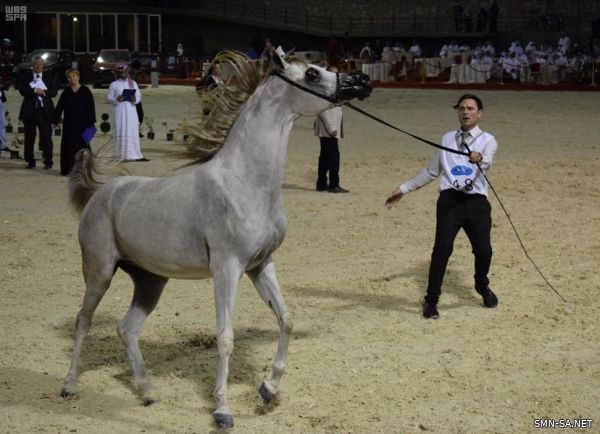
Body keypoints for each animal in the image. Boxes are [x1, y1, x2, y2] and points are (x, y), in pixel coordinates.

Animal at [61, 47, 370, 428]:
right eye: (312, 73)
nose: (362, 81)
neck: (244, 182)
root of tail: (98, 195)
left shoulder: (260, 265)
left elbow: (286, 319)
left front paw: (267, 389)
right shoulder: (227, 269)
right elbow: (225, 337)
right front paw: (222, 410)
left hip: (150, 280)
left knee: (127, 328)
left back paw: (148, 391)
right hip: (99, 272)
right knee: (83, 320)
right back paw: (70, 385)